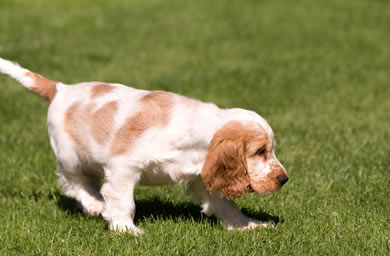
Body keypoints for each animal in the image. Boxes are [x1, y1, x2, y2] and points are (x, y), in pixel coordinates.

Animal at [0, 58, 286, 234]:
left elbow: (225, 204)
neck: (198, 132)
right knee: (72, 182)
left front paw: (248, 225)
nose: (284, 179)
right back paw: (94, 204)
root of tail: (60, 89)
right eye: (260, 152)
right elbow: (123, 200)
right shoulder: (124, 166)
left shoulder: (202, 175)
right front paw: (126, 229)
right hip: (71, 155)